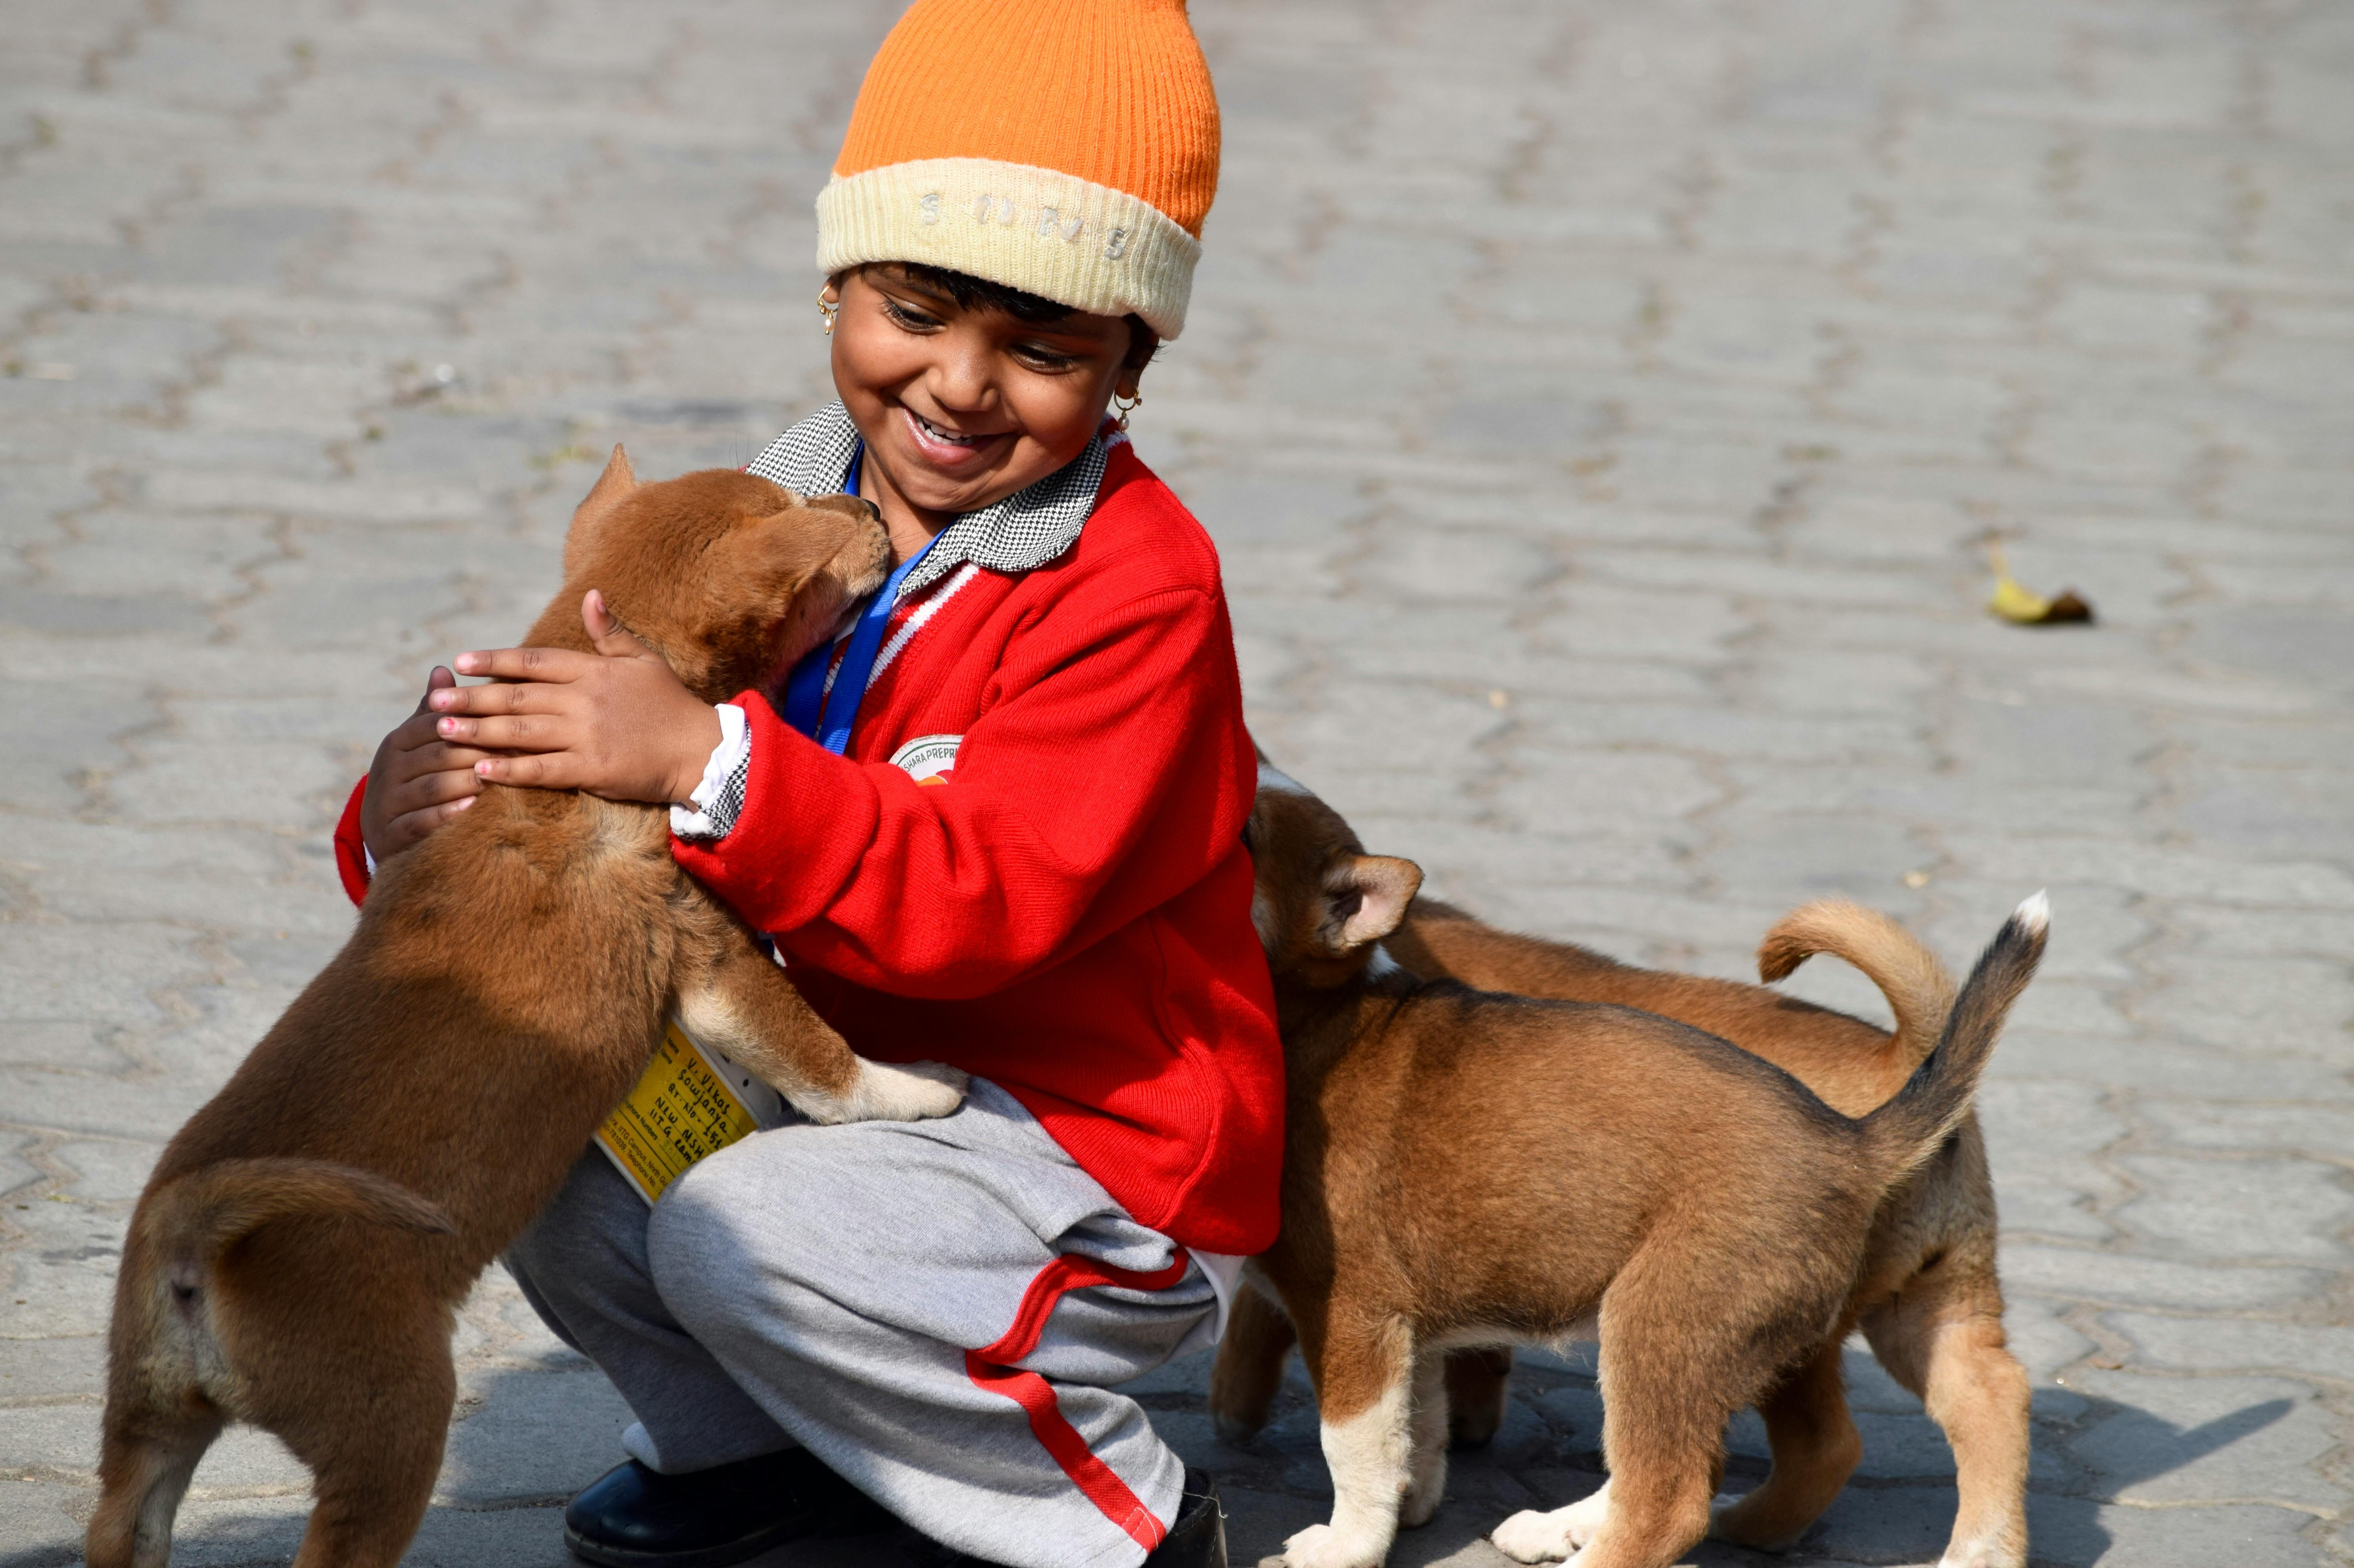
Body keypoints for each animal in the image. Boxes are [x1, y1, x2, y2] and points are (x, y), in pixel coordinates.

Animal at [1233, 767, 2043, 1563]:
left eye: (1246, 831)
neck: (1321, 1015)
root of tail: (1852, 1140)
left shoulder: (1348, 1314)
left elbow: (1353, 1444)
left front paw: (1345, 1544)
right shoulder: (1409, 1328)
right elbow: (1419, 1426)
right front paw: (1410, 1509)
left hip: (1661, 1324)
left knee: (1673, 1498)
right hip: (1924, 1303)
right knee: (1985, 1393)